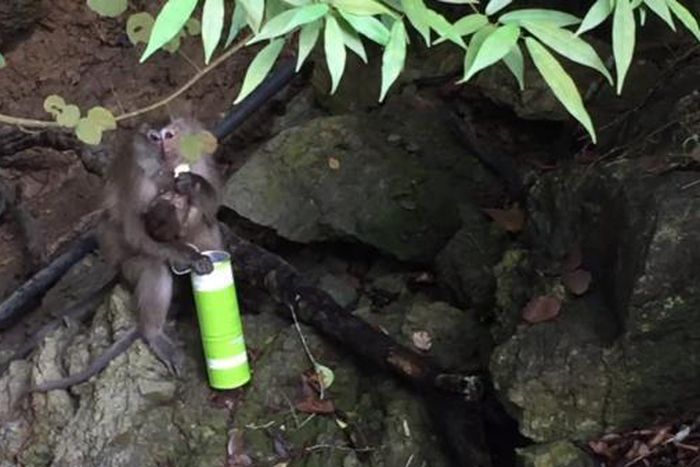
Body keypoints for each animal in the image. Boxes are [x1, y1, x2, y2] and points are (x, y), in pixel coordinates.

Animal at [27, 116, 224, 394]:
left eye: (170, 135)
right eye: (154, 137)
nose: (163, 148)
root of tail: (118, 272)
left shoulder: (199, 158)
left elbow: (212, 207)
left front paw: (193, 185)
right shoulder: (138, 179)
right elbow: (136, 232)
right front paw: (189, 257)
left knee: (208, 226)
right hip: (128, 267)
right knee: (153, 267)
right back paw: (153, 331)